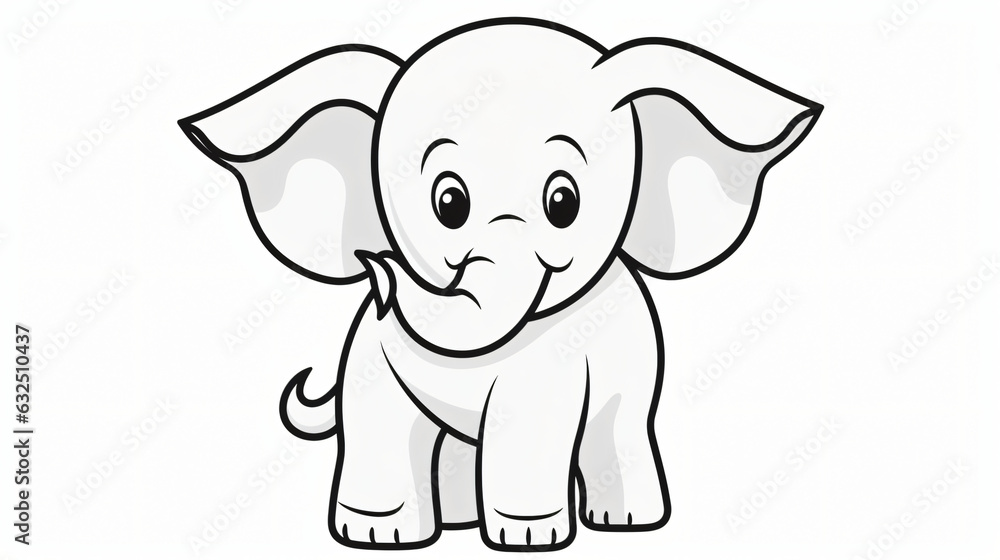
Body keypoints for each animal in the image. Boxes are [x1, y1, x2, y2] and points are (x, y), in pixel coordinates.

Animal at [179, 17, 821, 552]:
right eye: (448, 203)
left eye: (563, 203)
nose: (375, 264)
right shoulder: (370, 347)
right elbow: (377, 413)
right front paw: (375, 537)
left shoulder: (555, 357)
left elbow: (528, 420)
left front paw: (528, 539)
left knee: (620, 425)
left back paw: (625, 524)